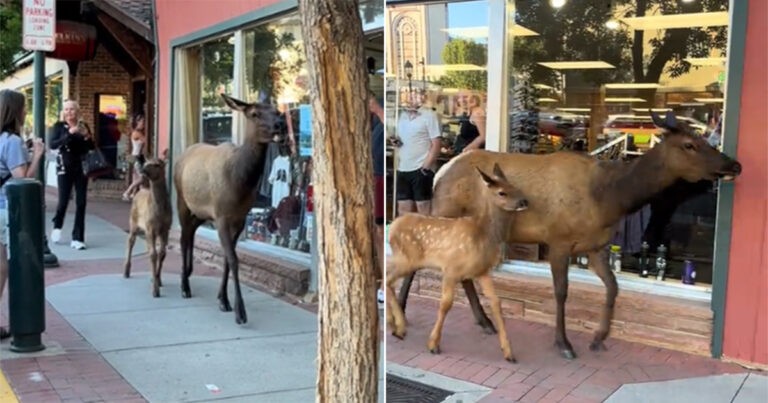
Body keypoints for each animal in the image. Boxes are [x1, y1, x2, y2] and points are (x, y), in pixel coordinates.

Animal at [124, 159, 172, 298]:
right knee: (130, 241)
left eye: (157, 164)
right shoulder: (151, 227)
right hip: (133, 222)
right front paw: (155, 290)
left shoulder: (165, 229)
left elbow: (162, 253)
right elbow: (153, 254)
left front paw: (158, 279)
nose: (142, 169)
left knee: (148, 247)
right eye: (146, 163)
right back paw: (126, 272)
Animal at [172, 94, 284, 326]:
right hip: (182, 200)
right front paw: (240, 312)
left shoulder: (239, 218)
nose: (280, 124)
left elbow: (226, 258)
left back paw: (188, 273)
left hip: (201, 212)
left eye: (277, 111)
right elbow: (233, 259)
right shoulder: (222, 215)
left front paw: (222, 299)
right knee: (183, 237)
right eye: (254, 113)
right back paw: (184, 285)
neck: (239, 181)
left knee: (191, 233)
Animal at [390, 164, 528, 362]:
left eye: (514, 186)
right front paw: (433, 344)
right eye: (502, 192)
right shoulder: (451, 268)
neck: (482, 235)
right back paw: (398, 327)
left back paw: (395, 326)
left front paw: (508, 352)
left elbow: (496, 303)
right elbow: (446, 303)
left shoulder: (482, 271)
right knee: (388, 279)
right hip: (406, 259)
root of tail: (392, 226)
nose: (524, 201)